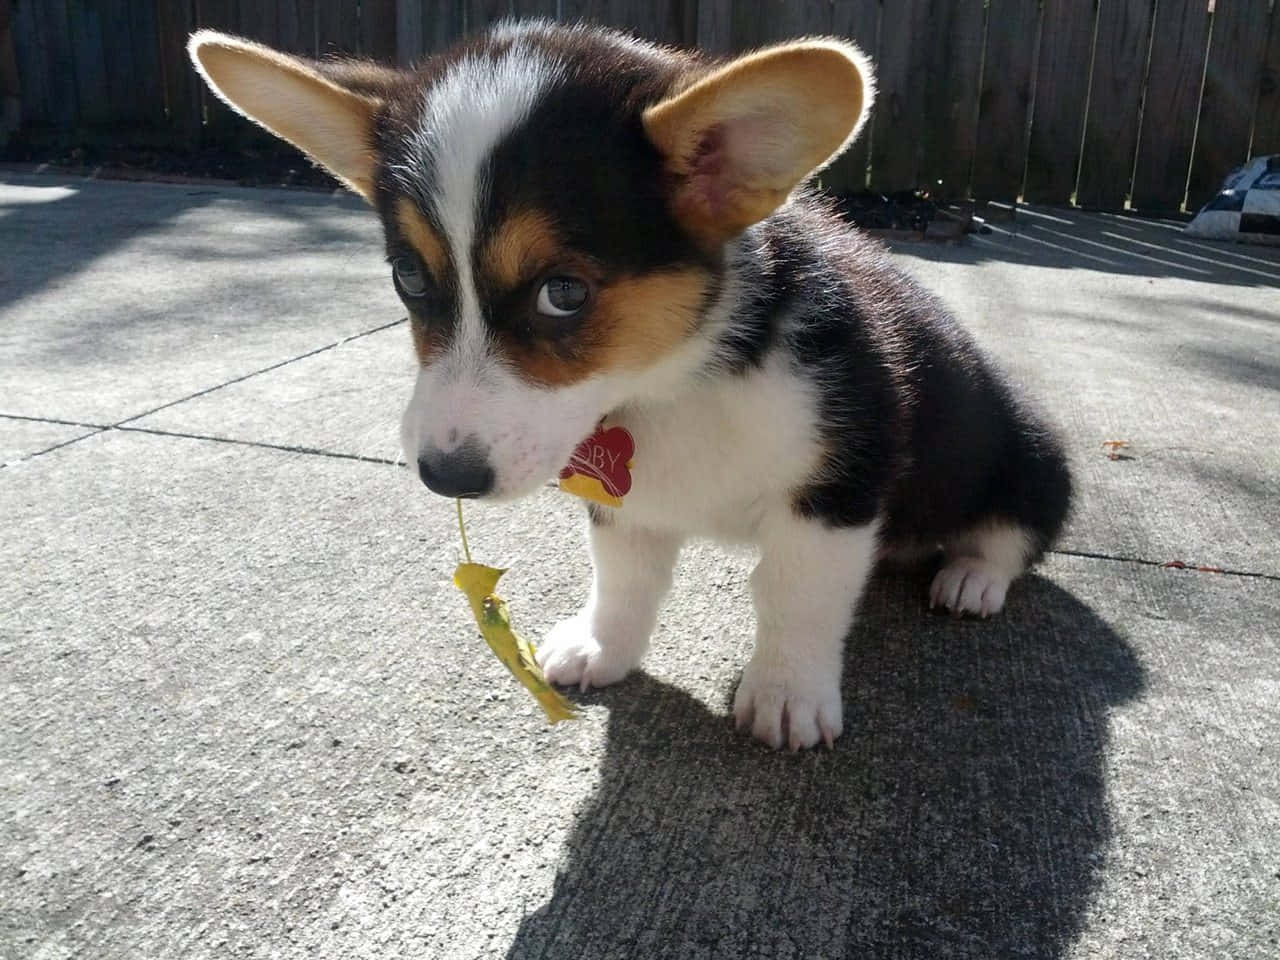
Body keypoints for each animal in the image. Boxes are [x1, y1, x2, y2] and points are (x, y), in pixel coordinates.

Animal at [189, 16, 1070, 752]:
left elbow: (796, 596)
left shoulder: (838, 485)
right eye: (408, 277)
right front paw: (601, 649)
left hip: (1030, 452)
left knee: (1014, 533)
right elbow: (623, 581)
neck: (673, 380)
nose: (446, 476)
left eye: (563, 292)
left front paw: (786, 697)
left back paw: (970, 577)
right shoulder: (621, 502)